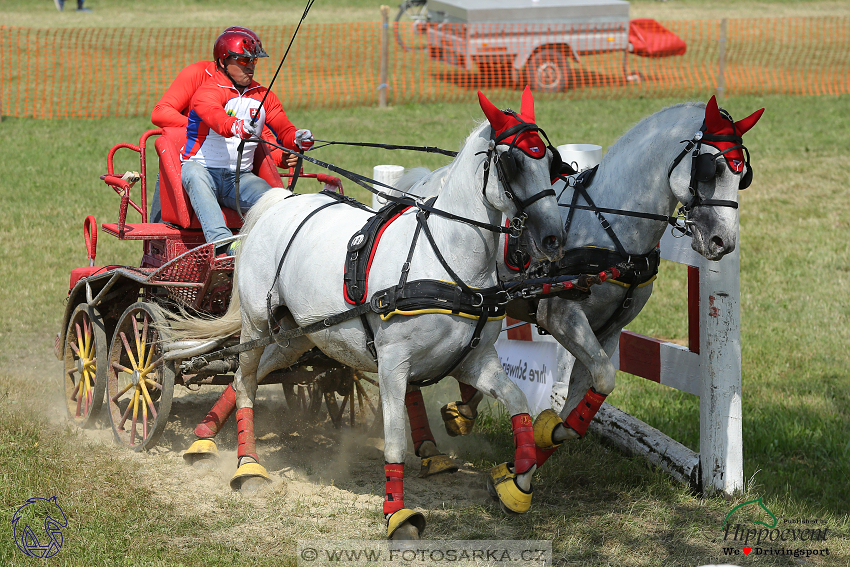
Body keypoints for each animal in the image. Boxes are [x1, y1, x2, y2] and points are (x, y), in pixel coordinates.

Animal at [166, 87, 564, 536]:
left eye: (551, 163)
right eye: (513, 163)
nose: (553, 237)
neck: (444, 259)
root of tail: (282, 200)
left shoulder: (475, 360)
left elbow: (519, 404)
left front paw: (517, 483)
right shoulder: (393, 364)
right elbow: (394, 441)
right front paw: (397, 514)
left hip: (297, 333)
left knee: (247, 376)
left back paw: (204, 437)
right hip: (256, 324)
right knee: (246, 381)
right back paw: (247, 466)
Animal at [396, 96, 760, 470]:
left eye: (742, 174)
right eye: (713, 169)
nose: (722, 242)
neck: (611, 224)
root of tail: (423, 184)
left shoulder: (609, 330)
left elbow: (585, 393)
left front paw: (546, 440)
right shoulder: (562, 317)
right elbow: (603, 375)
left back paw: (462, 411)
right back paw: (430, 444)